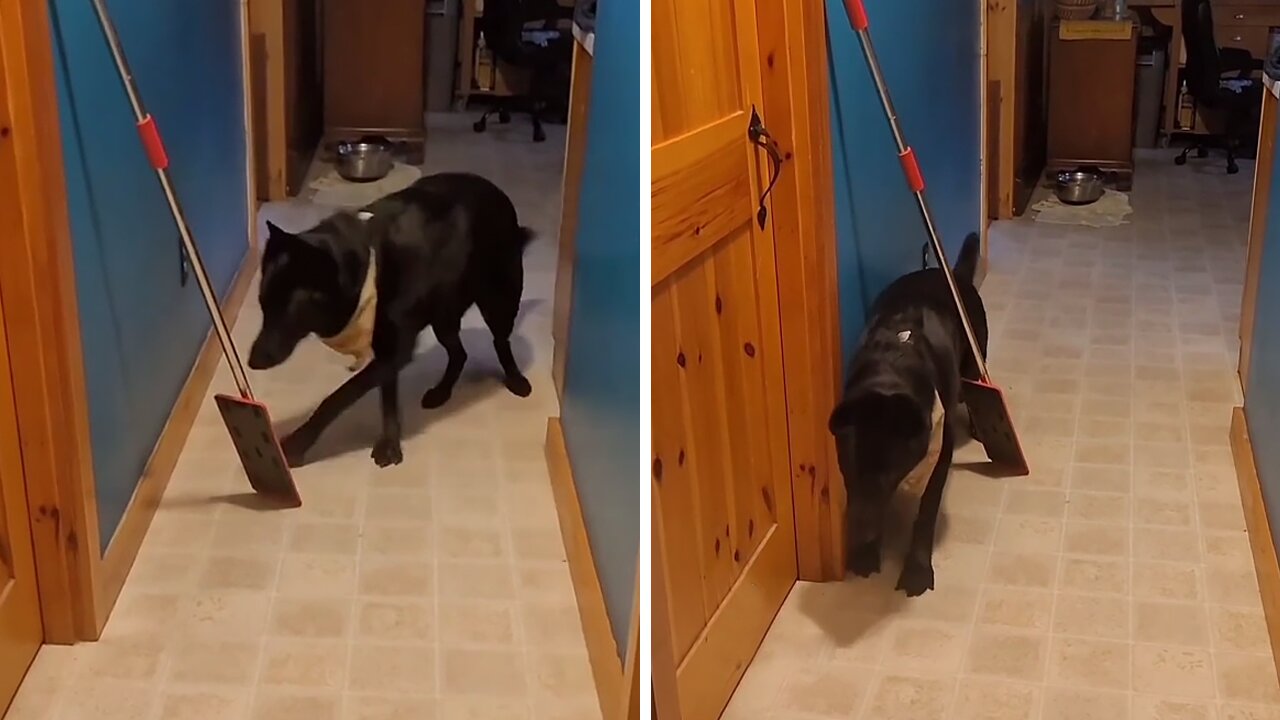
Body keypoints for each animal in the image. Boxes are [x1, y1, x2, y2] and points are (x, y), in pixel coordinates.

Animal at [247, 172, 532, 466]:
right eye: (263, 305)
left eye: (287, 309)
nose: (252, 362)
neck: (368, 267)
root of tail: (496, 191)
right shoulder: (386, 351)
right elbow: (387, 398)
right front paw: (391, 442)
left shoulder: (393, 351)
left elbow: (338, 397)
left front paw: (297, 443)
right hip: (444, 316)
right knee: (459, 353)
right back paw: (441, 391)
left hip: (498, 303)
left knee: (501, 341)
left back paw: (515, 379)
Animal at [829, 230, 988, 594]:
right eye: (848, 466)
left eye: (889, 471)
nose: (858, 533)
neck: (890, 371)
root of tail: (954, 274)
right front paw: (867, 554)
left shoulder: (939, 456)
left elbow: (926, 512)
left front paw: (915, 569)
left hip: (975, 359)